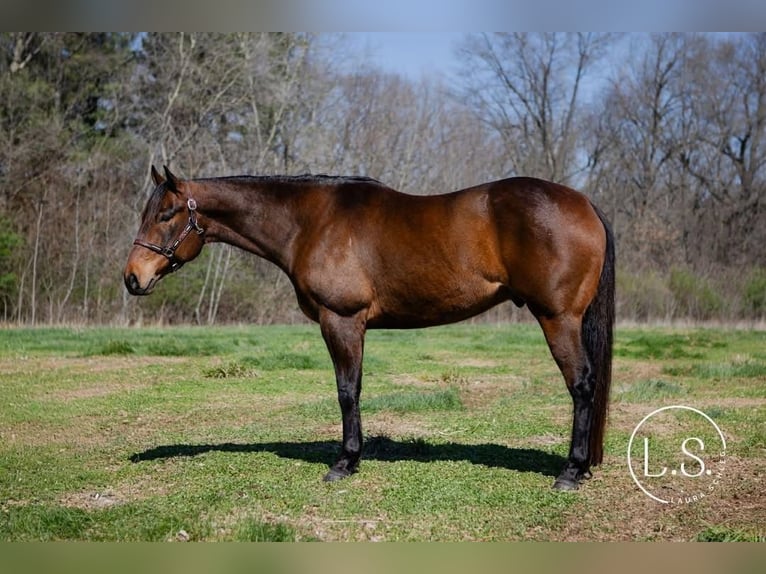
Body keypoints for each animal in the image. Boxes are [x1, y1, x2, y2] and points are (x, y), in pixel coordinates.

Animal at [124, 165, 615, 490]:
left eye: (166, 214)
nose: (132, 278)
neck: (310, 222)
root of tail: (585, 203)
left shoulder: (341, 319)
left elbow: (347, 391)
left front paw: (345, 462)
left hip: (558, 319)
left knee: (582, 385)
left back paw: (571, 471)